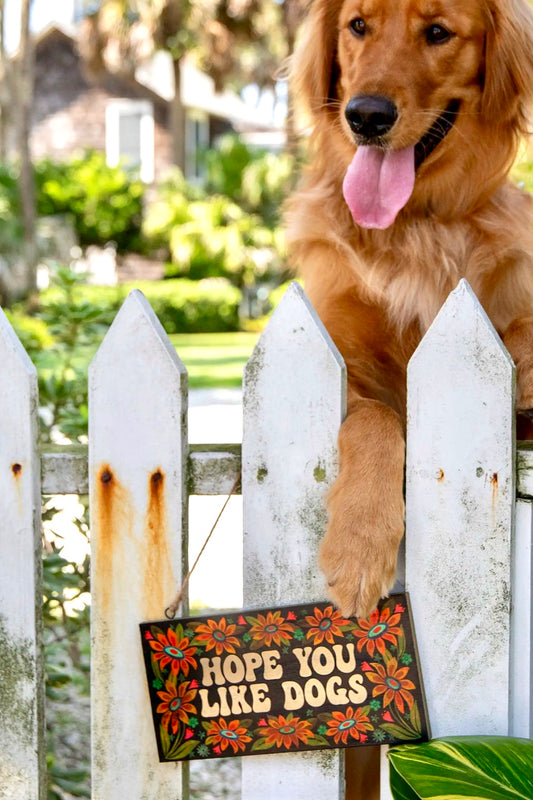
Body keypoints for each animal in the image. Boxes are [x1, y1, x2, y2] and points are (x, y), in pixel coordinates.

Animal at [288, 0, 533, 620]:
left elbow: (521, 328)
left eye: (438, 32)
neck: (413, 227)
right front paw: (359, 547)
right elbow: (377, 419)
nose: (366, 116)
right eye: (357, 26)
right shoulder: (340, 363)